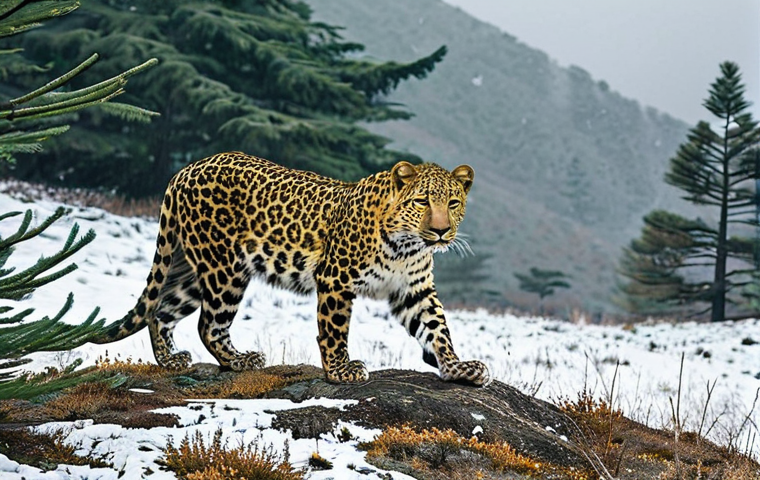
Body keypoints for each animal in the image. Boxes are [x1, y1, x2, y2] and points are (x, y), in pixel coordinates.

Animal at [95, 152, 491, 386]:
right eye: (422, 201)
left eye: (453, 203)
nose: (441, 231)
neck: (406, 248)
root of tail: (186, 169)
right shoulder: (335, 278)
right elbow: (334, 330)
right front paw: (340, 371)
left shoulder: (414, 290)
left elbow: (437, 329)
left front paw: (458, 367)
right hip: (225, 268)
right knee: (208, 324)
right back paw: (240, 361)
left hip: (196, 269)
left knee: (161, 310)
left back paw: (170, 361)